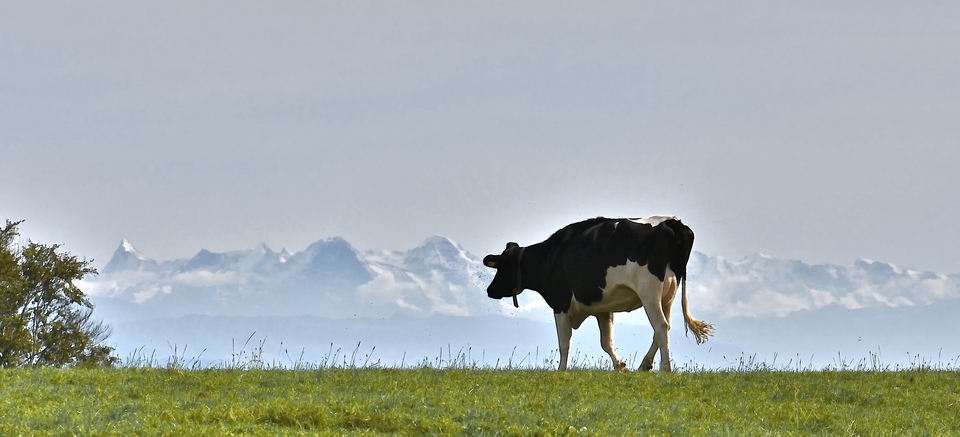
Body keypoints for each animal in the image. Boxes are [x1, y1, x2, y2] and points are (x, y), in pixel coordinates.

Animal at [480, 216, 712, 370]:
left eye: (501, 266)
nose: (490, 290)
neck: (551, 256)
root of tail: (673, 223)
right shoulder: (603, 309)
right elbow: (606, 342)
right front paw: (620, 366)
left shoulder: (560, 304)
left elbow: (564, 343)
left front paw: (561, 371)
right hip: (668, 295)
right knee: (664, 326)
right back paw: (645, 365)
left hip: (649, 291)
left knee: (661, 326)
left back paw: (665, 368)